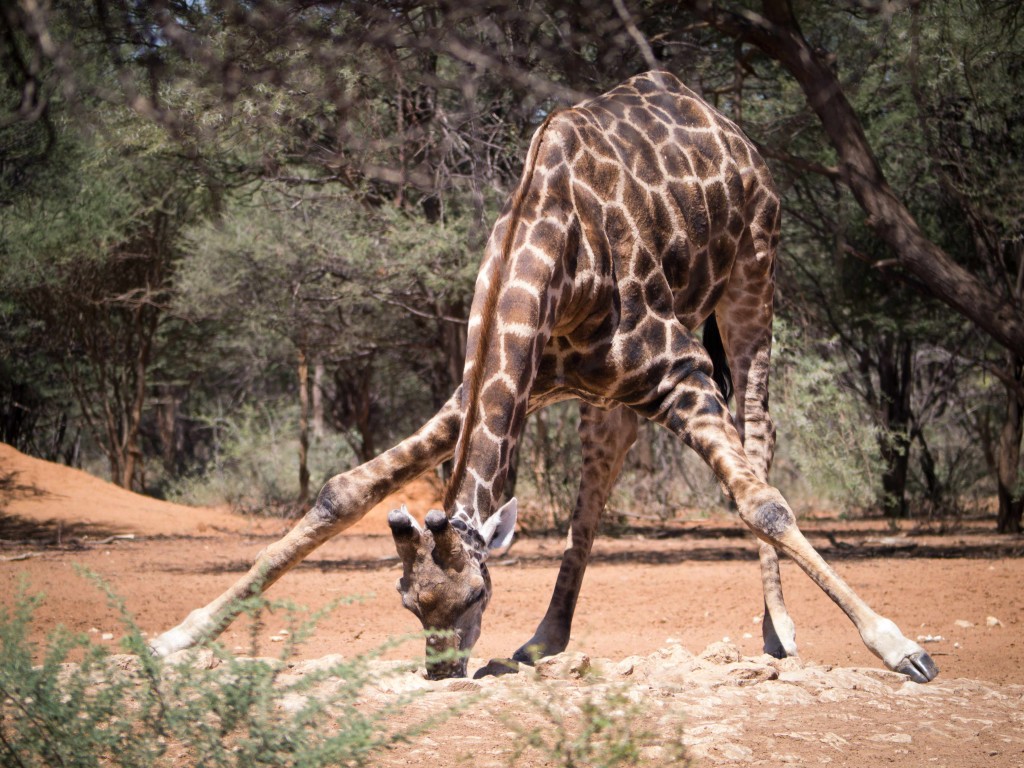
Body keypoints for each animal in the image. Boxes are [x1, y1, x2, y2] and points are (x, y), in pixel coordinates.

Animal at [385, 72, 937, 684]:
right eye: (408, 602)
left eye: (476, 594)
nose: (443, 671)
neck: (556, 244)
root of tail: (725, 124)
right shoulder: (548, 380)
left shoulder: (682, 367)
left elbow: (765, 506)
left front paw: (901, 647)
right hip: (610, 392)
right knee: (601, 477)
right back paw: (544, 639)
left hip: (755, 270)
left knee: (758, 428)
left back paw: (778, 631)